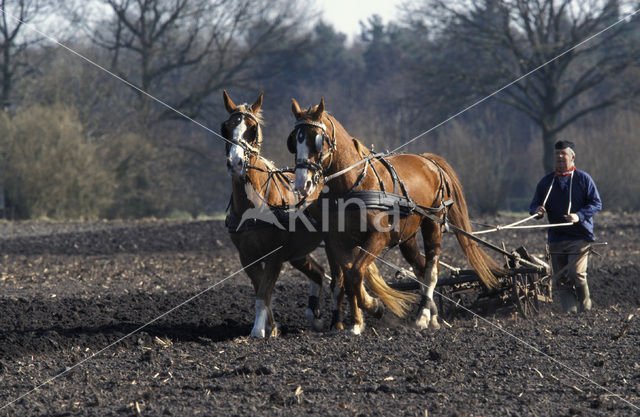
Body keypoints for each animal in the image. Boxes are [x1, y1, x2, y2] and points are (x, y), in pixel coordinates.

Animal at [288, 96, 502, 332]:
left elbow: (355, 274)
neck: (355, 183)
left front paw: (374, 307)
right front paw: (356, 323)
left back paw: (423, 316)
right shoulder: (338, 240)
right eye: (294, 141)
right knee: (420, 267)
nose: (302, 183)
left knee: (432, 270)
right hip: (407, 237)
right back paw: (433, 314)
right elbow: (346, 278)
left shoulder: (378, 237)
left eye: (317, 139)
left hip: (433, 223)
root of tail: (428, 160)